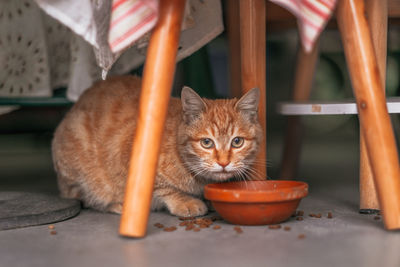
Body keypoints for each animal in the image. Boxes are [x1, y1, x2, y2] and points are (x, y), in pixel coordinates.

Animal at [51, 75, 264, 218]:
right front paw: (185, 201)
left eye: (237, 142)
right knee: (86, 197)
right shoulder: (129, 157)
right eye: (206, 142)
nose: (223, 163)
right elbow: (163, 187)